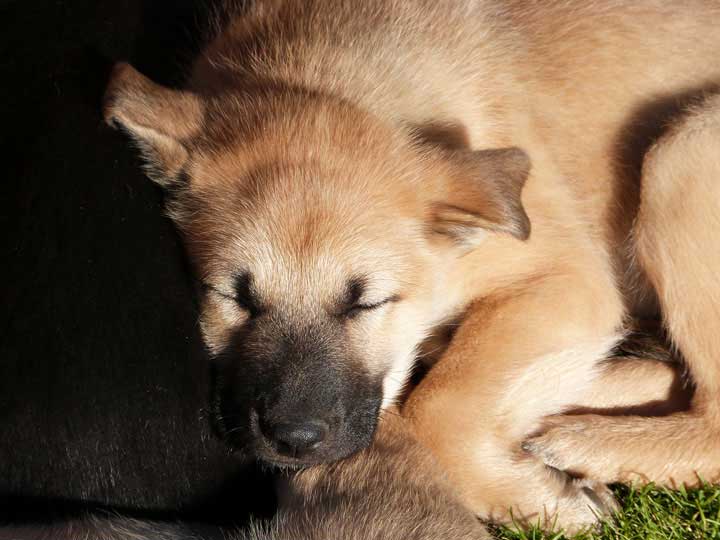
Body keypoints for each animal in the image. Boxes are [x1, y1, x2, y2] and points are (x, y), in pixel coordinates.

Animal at [104, 0, 720, 532]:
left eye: (368, 302)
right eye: (235, 298)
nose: (295, 442)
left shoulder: (568, 280)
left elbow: (436, 409)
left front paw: (543, 502)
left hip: (681, 153)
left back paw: (584, 442)